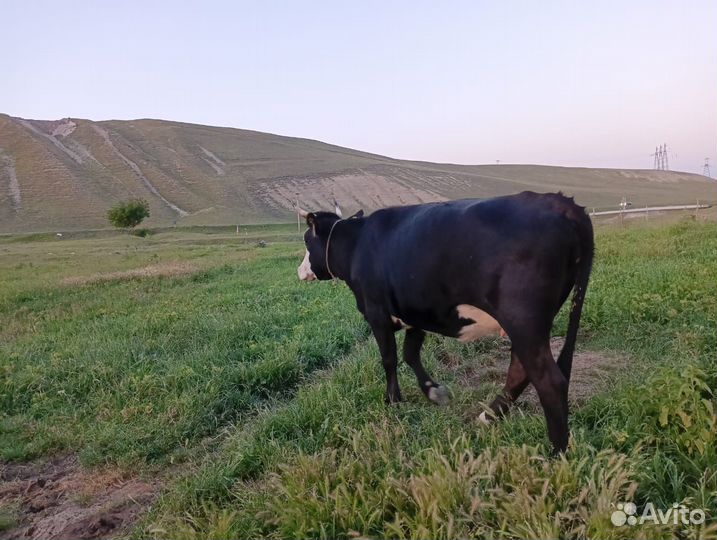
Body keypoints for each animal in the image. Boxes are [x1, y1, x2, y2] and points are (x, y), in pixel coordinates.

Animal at [296, 192, 594, 454]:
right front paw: (434, 392)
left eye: (306, 240)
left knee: (548, 380)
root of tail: (561, 203)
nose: (300, 271)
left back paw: (556, 452)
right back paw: (489, 417)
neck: (357, 245)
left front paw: (393, 399)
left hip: (523, 320)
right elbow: (410, 353)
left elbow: (389, 358)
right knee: (520, 370)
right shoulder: (415, 311)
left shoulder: (376, 311)